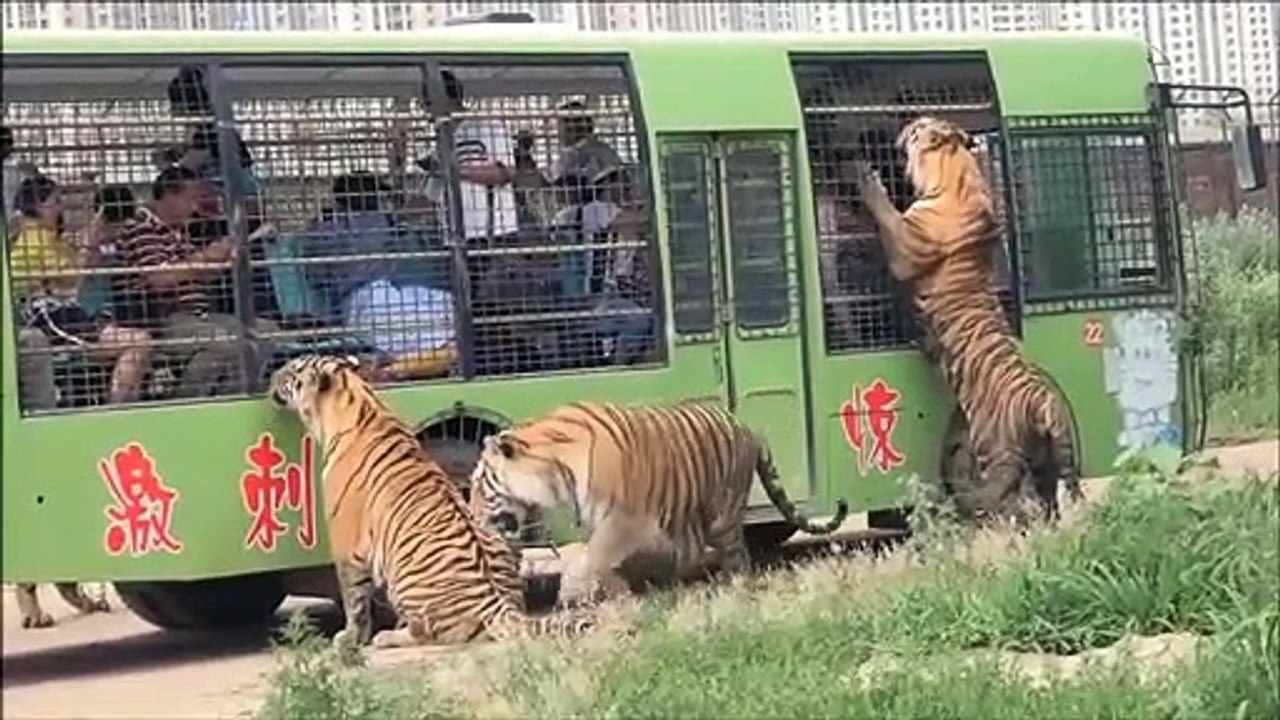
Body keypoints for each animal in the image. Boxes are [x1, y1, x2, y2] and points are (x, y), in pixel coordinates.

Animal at [266, 353, 594, 650]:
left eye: (293, 369)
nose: (272, 373)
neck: (360, 401)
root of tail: (498, 606)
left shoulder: (346, 543)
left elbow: (354, 599)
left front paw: (350, 638)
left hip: (404, 581)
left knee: (428, 633)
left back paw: (389, 636)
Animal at [469, 400, 851, 608]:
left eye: (478, 484)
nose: (471, 515)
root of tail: (747, 427)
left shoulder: (626, 519)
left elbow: (597, 557)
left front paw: (613, 593)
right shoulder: (601, 522)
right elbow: (588, 556)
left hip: (722, 514)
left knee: (738, 557)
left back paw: (730, 587)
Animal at [850, 115, 1083, 524]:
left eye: (920, 127)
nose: (907, 122)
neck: (955, 170)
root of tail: (1044, 403)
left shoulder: (906, 244)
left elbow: (888, 214)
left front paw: (869, 178)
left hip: (998, 451)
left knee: (1015, 499)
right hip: (1047, 462)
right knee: (1048, 502)